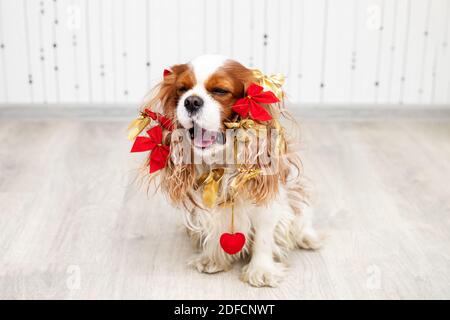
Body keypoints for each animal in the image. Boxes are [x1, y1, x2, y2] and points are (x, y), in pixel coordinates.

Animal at [132, 54, 322, 288]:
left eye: (220, 90)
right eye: (182, 89)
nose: (191, 101)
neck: (221, 162)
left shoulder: (269, 203)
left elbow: (264, 236)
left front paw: (261, 270)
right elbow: (215, 226)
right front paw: (212, 258)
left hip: (296, 191)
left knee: (302, 216)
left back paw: (308, 238)